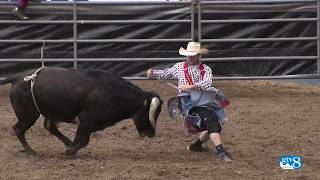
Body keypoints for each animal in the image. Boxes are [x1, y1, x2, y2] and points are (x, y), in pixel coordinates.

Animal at [0, 67, 162, 156]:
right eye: (147, 112)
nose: (152, 133)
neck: (111, 92)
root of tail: (18, 77)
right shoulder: (86, 120)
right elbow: (84, 140)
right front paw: (70, 152)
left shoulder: (86, 124)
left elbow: (80, 139)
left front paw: (71, 148)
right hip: (28, 114)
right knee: (19, 129)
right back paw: (31, 152)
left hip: (48, 112)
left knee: (50, 127)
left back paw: (67, 143)